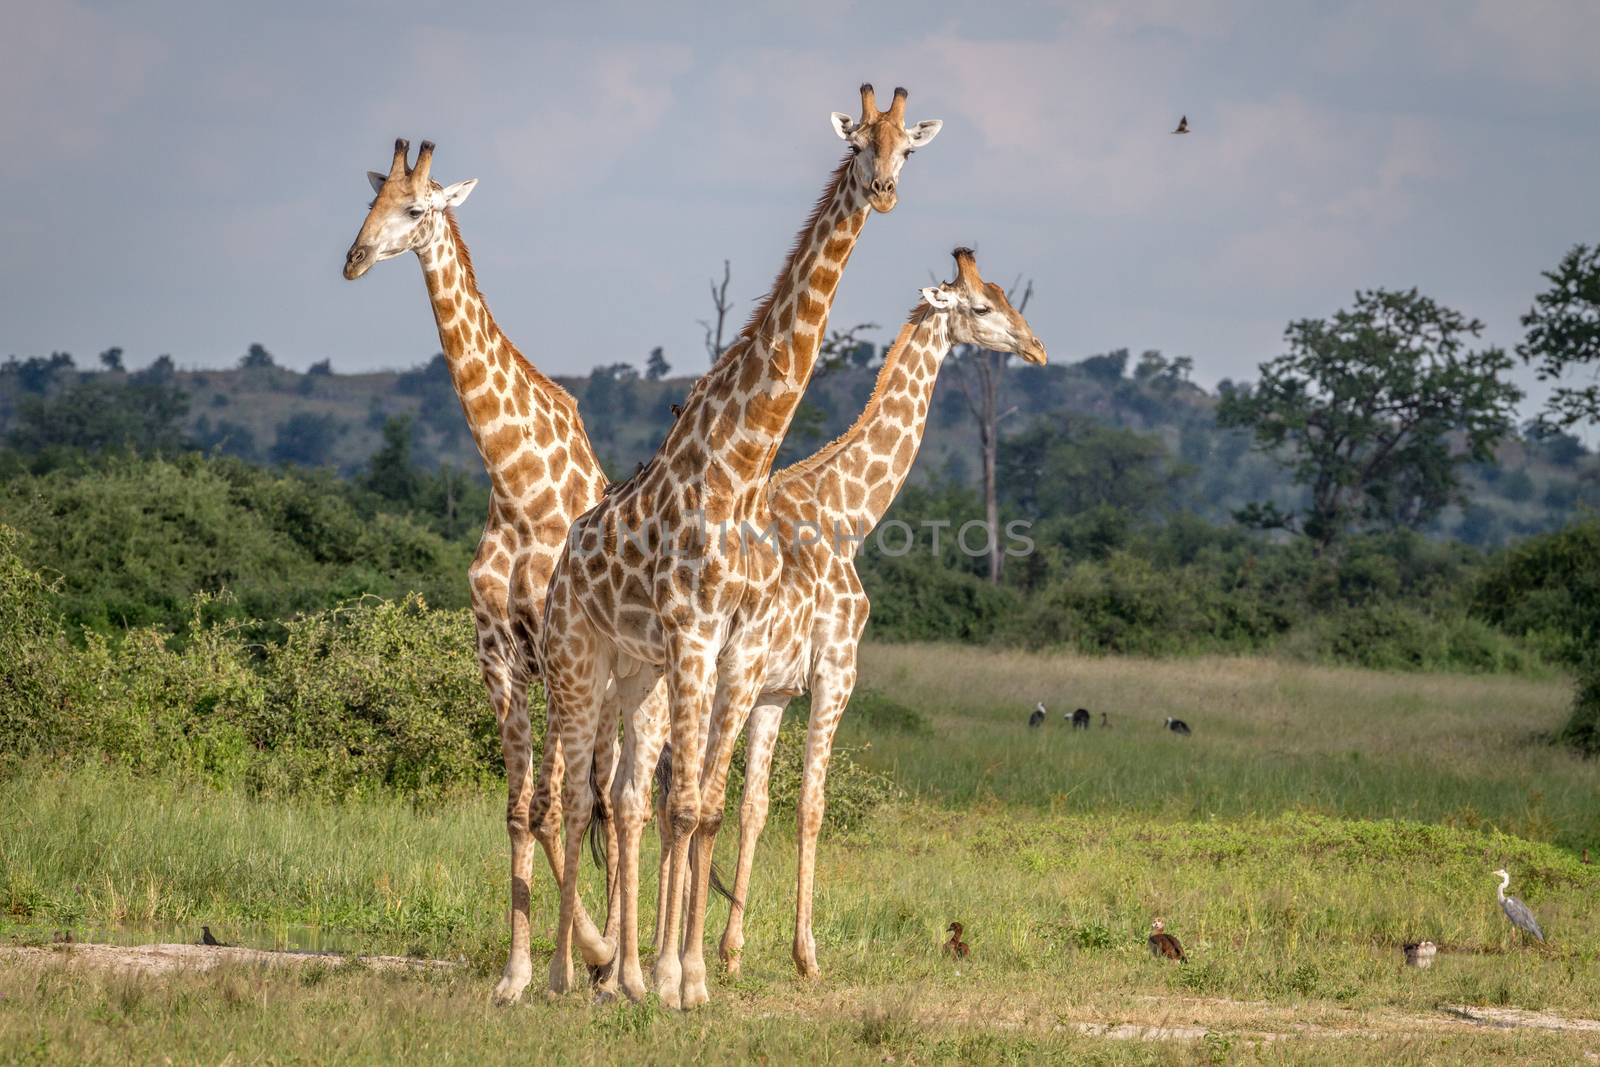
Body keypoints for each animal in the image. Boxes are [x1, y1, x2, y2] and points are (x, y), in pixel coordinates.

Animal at [337, 141, 611, 1011]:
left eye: (417, 208)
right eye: (370, 200)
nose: (354, 259)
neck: (515, 483)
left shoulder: (556, 659)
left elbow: (556, 807)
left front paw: (574, 961)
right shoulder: (499, 659)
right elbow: (521, 811)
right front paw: (519, 973)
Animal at [531, 85, 940, 1011]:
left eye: (910, 147)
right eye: (858, 142)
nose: (885, 191)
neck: (741, 463)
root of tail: (566, 557)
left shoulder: (728, 644)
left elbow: (706, 804)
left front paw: (683, 975)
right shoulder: (696, 631)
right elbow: (688, 806)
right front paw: (676, 981)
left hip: (637, 672)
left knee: (620, 796)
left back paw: (614, 971)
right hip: (580, 659)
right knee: (573, 795)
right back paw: (568, 972)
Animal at [643, 246, 1043, 979]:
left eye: (1005, 295)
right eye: (982, 307)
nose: (1037, 347)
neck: (847, 512)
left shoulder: (776, 690)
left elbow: (756, 806)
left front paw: (733, 950)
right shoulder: (836, 670)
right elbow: (810, 804)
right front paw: (805, 955)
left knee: (646, 794)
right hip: (719, 679)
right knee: (681, 798)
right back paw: (662, 960)